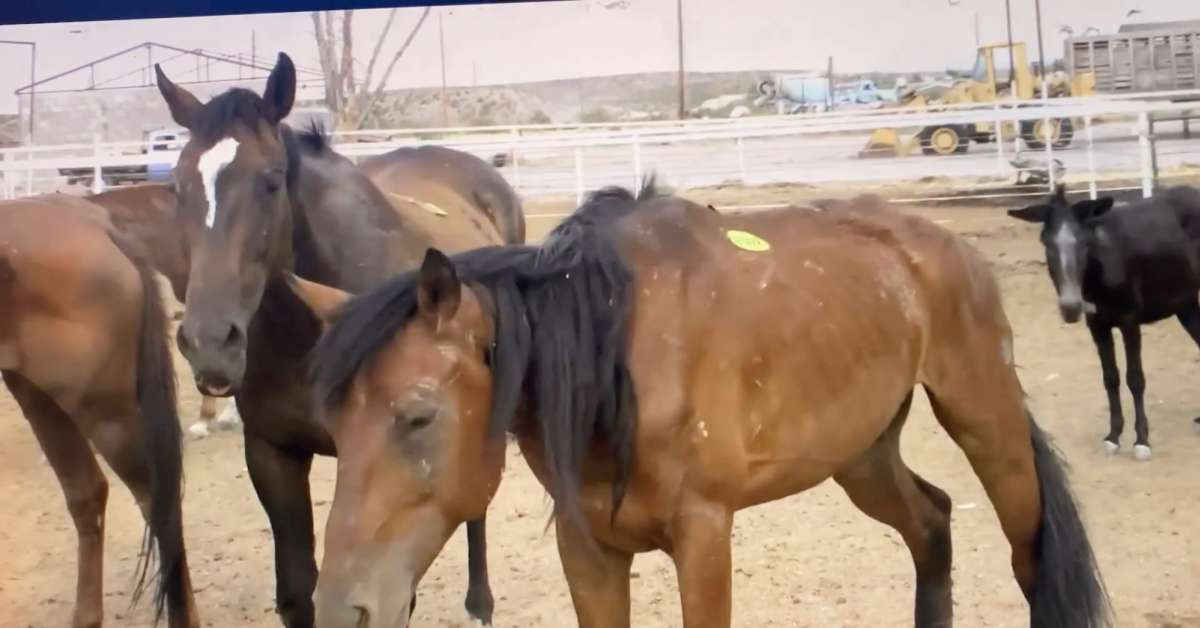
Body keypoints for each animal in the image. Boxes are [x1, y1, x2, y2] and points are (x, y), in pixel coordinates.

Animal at [153, 52, 524, 628]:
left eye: (270, 180)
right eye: (177, 186)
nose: (209, 341)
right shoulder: (273, 454)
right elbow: (297, 593)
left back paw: (479, 604)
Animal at [295, 181, 1111, 628]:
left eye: (418, 415)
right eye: (332, 427)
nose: (341, 611)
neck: (613, 350)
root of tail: (940, 244)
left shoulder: (705, 537)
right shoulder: (589, 549)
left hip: (986, 422)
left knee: (1030, 558)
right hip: (860, 454)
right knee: (932, 524)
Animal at [1008, 185, 1200, 460]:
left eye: (1083, 241)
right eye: (1045, 242)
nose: (1070, 308)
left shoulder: (1130, 321)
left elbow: (1135, 379)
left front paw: (1142, 440)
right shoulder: (1097, 326)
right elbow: (1110, 378)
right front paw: (1113, 436)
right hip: (1185, 303)